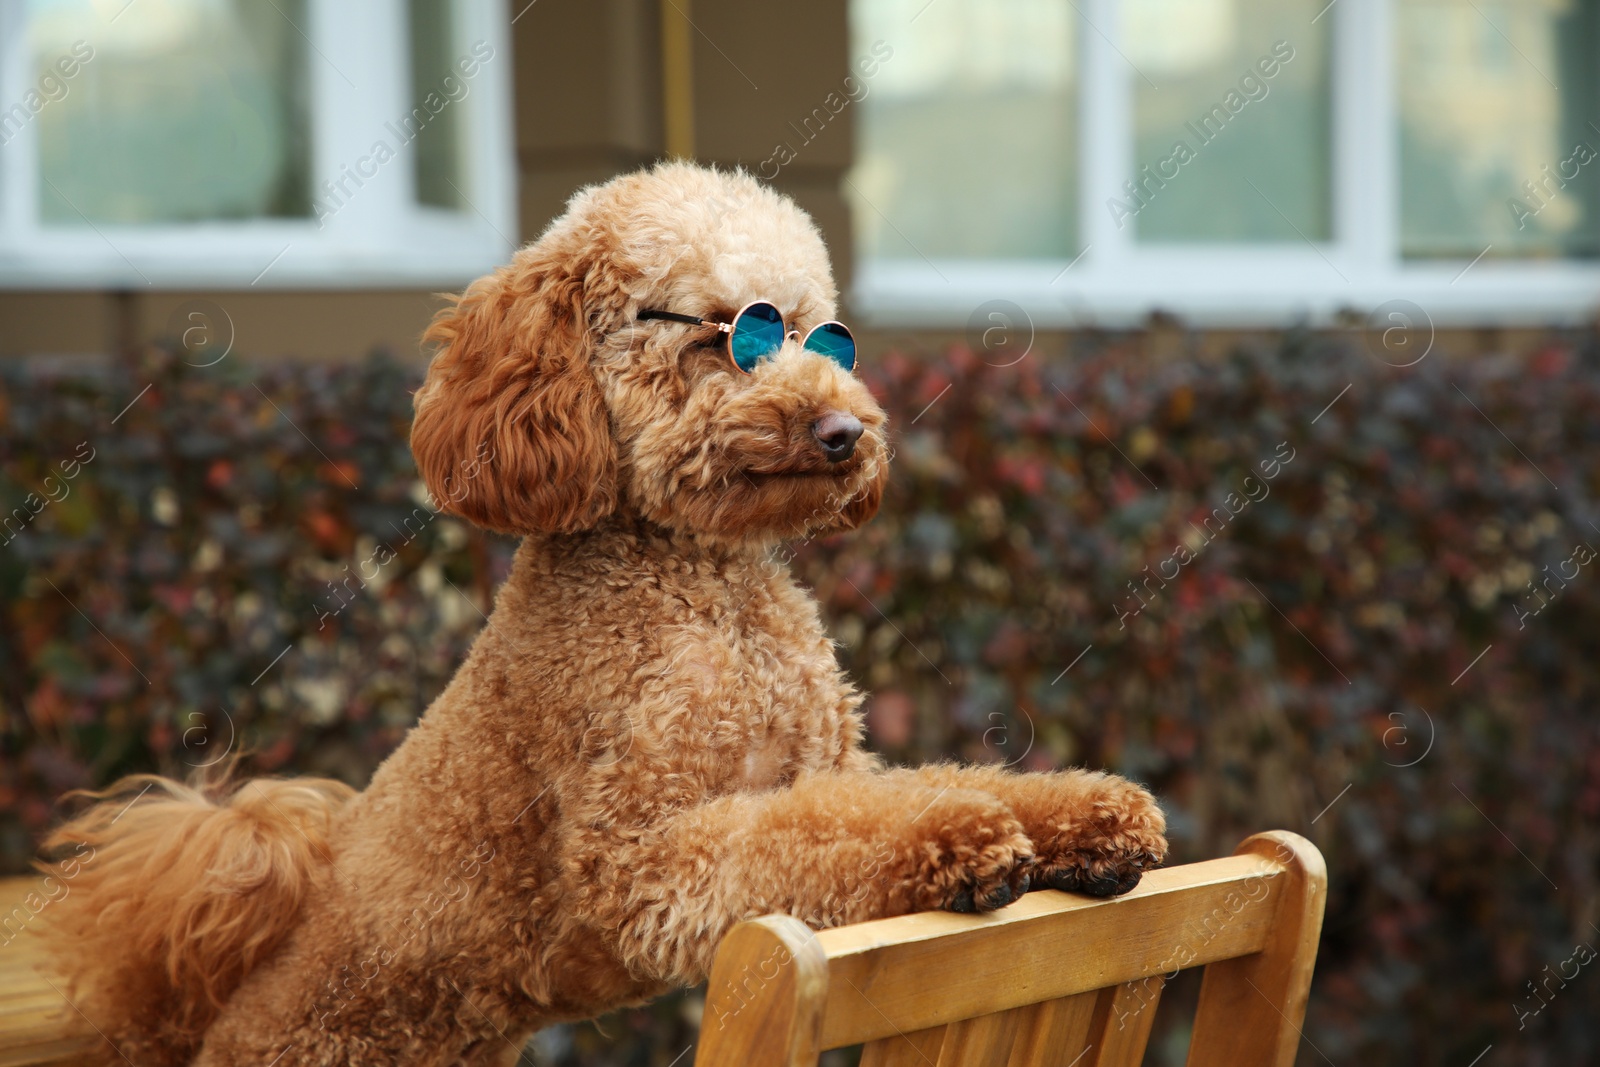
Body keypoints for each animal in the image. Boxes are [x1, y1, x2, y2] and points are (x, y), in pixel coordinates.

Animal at [37, 160, 1164, 1067]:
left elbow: (920, 785)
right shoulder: (644, 862)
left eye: (821, 335)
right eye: (732, 335)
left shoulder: (829, 767)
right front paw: (964, 838)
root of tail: (202, 1020)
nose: (846, 431)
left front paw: (1085, 816)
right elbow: (821, 836)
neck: (708, 586)